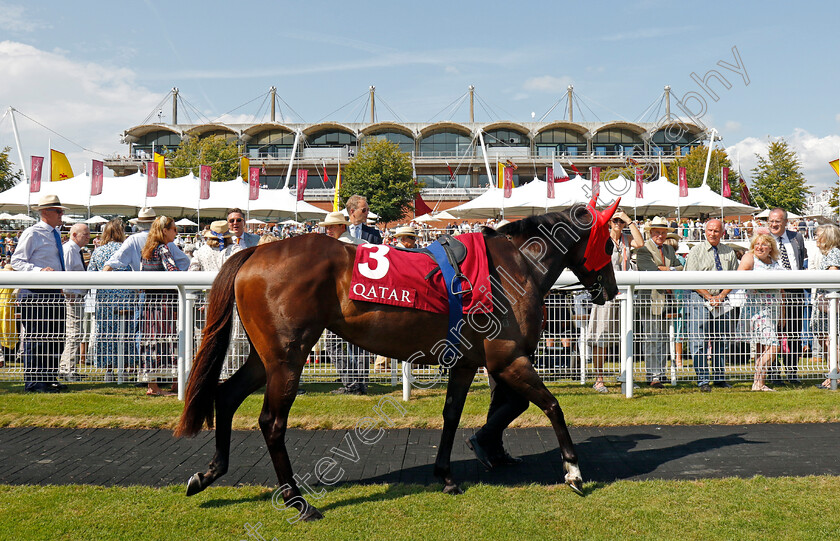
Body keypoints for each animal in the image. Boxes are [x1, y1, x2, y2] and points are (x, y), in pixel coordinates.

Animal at [177, 200, 620, 520]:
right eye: (610, 243)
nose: (611, 290)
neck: (511, 269)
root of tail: (254, 252)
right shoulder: (509, 358)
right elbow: (551, 405)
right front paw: (573, 471)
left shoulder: (467, 362)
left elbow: (454, 415)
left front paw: (448, 473)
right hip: (288, 357)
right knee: (271, 422)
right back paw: (298, 501)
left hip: (265, 355)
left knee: (226, 396)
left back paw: (207, 473)